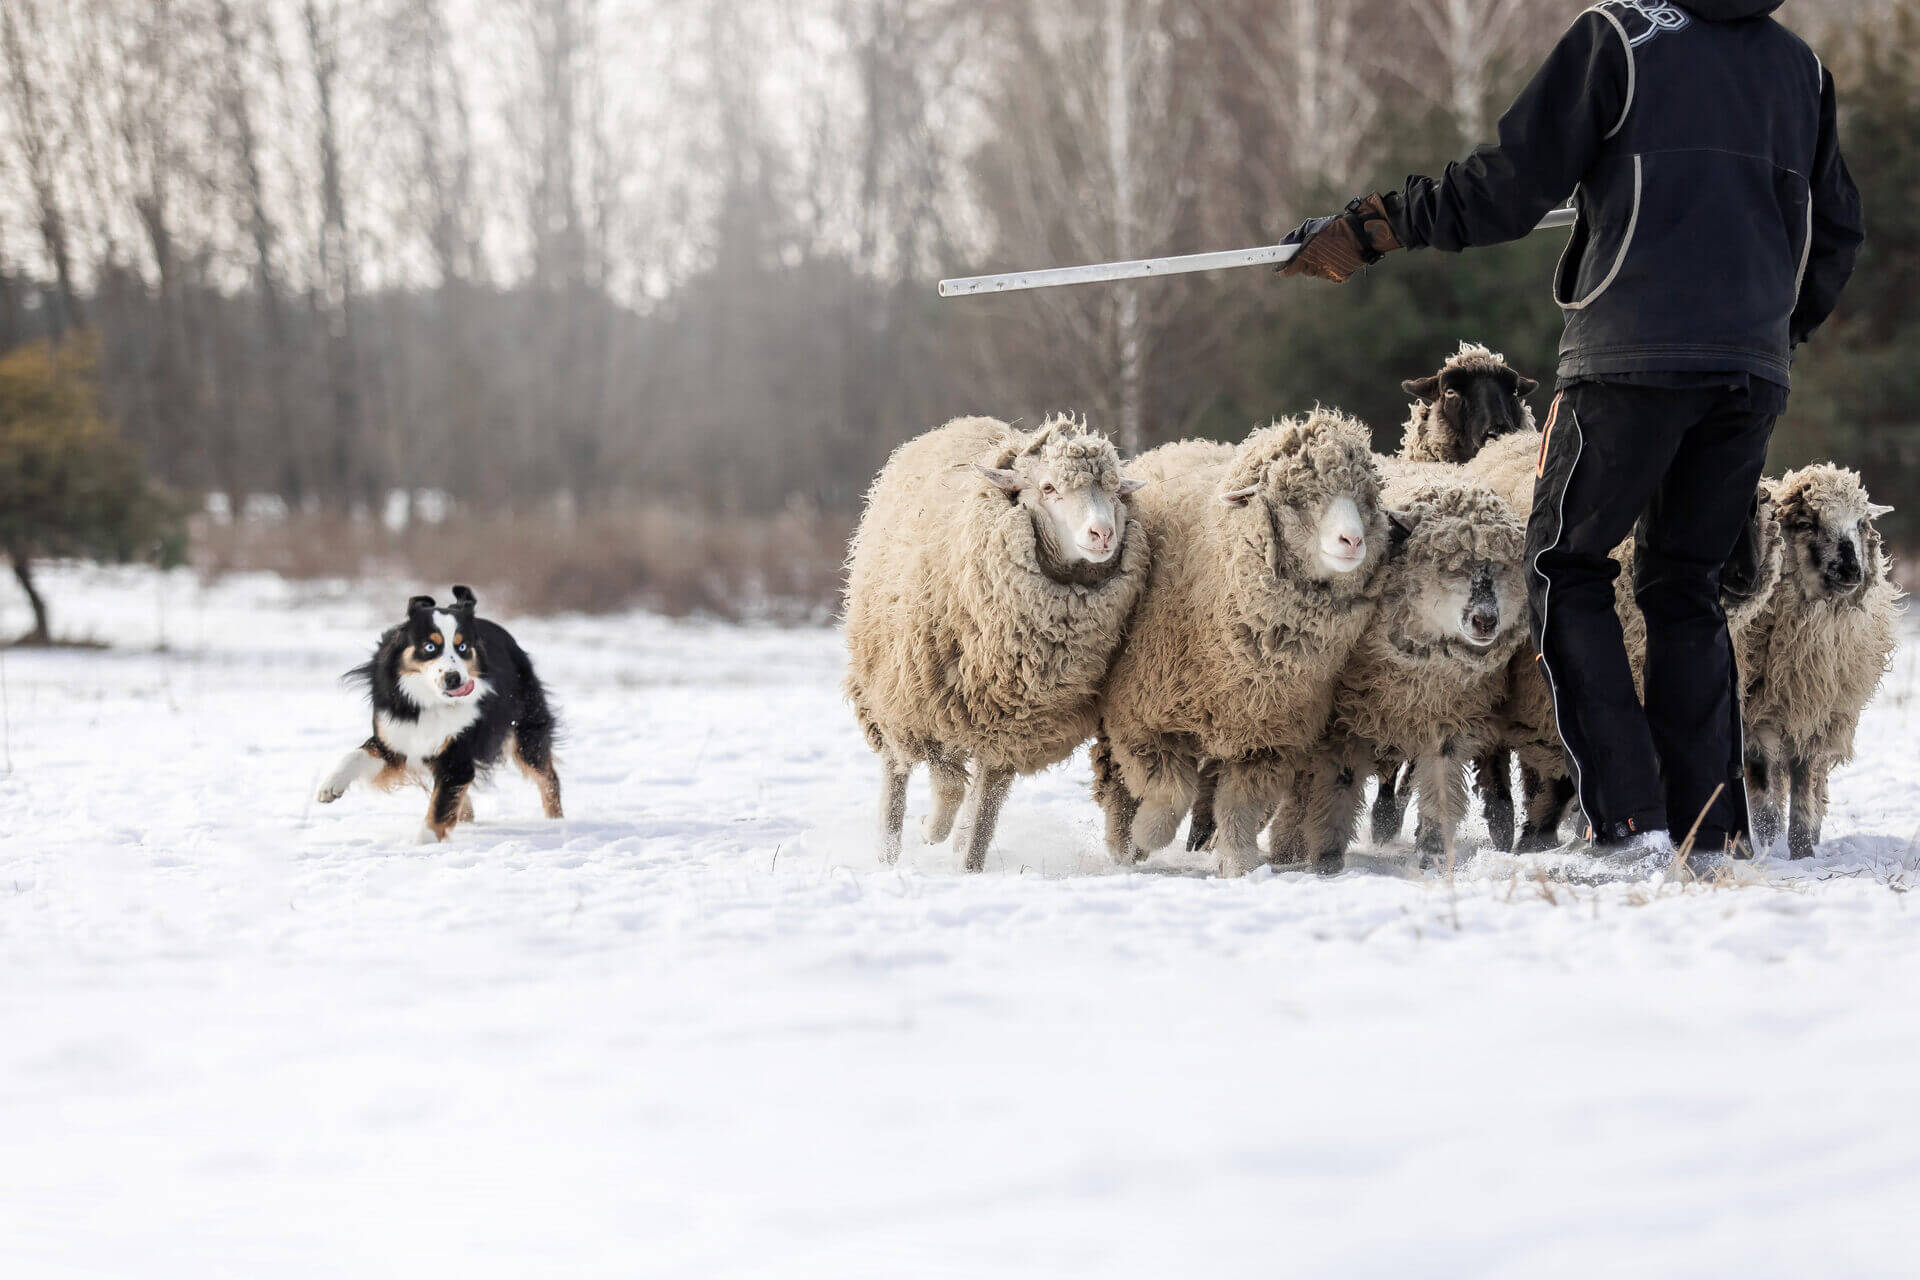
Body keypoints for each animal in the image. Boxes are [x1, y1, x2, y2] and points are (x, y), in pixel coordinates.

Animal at [316, 587, 560, 844]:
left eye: (462, 647)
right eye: (430, 647)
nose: (454, 679)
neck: (432, 702)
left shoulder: (457, 757)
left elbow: (440, 807)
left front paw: (425, 844)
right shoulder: (395, 740)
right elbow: (356, 755)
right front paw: (330, 787)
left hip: (526, 731)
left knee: (548, 777)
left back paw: (556, 822)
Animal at [837, 410, 1136, 871]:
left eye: (1112, 490)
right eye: (1048, 488)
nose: (1102, 534)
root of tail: (963, 421)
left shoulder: (1012, 728)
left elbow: (986, 806)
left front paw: (969, 864)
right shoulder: (922, 703)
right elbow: (940, 783)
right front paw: (922, 835)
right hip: (892, 687)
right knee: (900, 770)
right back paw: (895, 848)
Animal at [1090, 410, 1390, 882]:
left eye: (1365, 499)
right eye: (1296, 499)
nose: (1353, 541)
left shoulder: (1266, 740)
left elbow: (1239, 808)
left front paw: (1240, 865)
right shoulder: (1139, 720)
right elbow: (1171, 793)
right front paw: (1146, 836)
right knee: (1116, 783)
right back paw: (1124, 844)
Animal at [1743, 466, 1904, 855]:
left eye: (1860, 522)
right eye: (1805, 522)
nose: (1851, 572)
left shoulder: (1820, 711)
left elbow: (1806, 778)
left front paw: (1802, 848)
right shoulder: (1755, 711)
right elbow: (1761, 780)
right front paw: (1768, 842)